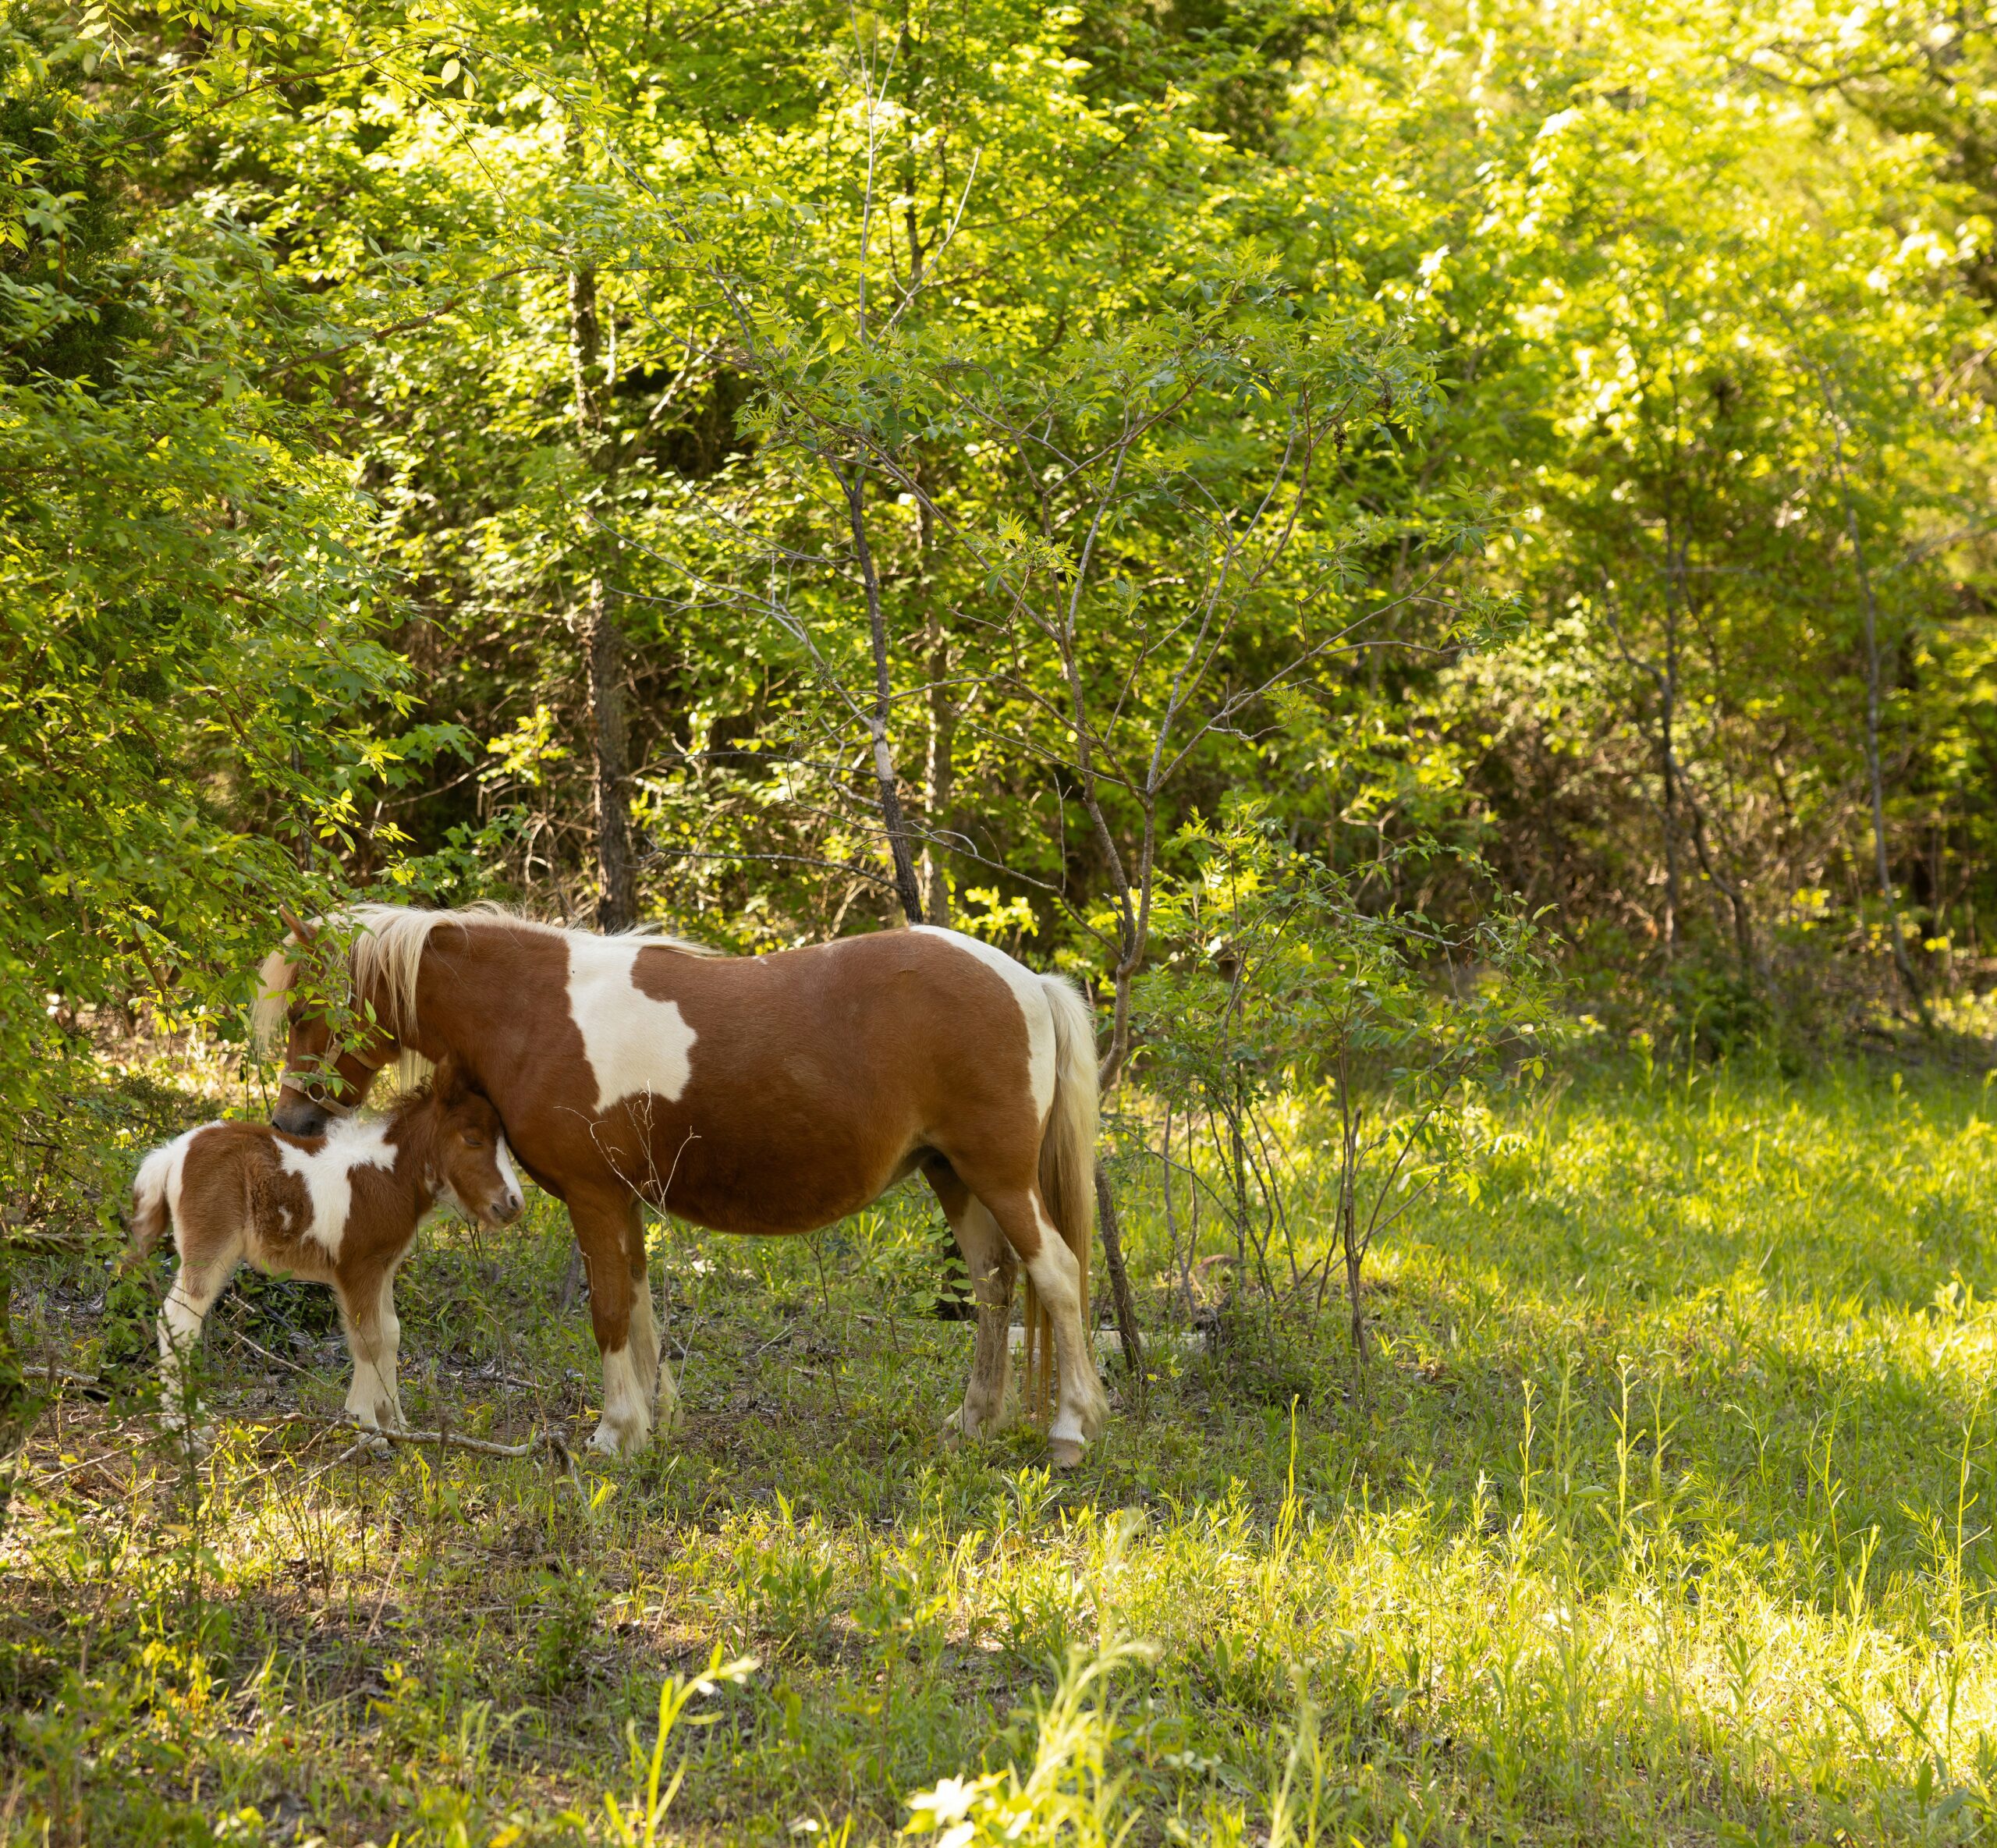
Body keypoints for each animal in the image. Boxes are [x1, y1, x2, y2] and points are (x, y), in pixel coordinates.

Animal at [126, 1062, 523, 1438]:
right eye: (472, 1139)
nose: (514, 1203)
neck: (388, 1175)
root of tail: (174, 1152)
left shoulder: (383, 1266)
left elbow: (391, 1333)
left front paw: (397, 1424)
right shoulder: (356, 1267)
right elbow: (368, 1338)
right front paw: (366, 1427)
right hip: (209, 1245)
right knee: (178, 1320)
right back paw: (183, 1425)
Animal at [250, 903, 1110, 1454]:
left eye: (306, 1005)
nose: (292, 1120)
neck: (531, 1010)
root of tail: (1025, 980)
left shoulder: (593, 1196)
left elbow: (607, 1308)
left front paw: (612, 1434)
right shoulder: (622, 1199)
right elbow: (638, 1302)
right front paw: (652, 1422)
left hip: (998, 1174)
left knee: (1058, 1273)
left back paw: (1071, 1428)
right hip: (951, 1175)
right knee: (996, 1286)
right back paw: (973, 1422)